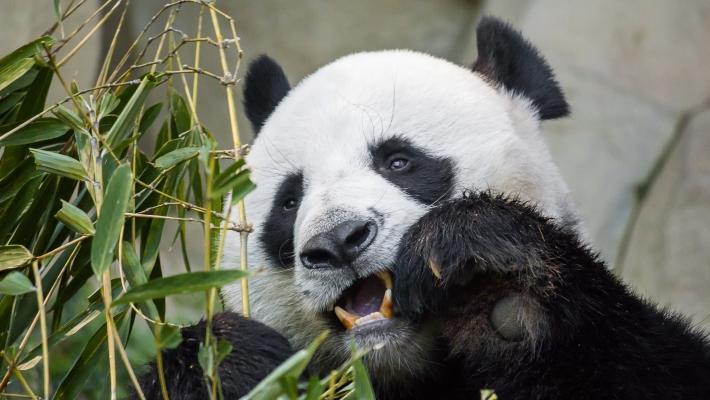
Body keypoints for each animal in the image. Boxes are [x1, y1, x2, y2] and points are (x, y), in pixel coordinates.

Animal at [139, 16, 710, 400]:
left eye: (399, 161)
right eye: (290, 200)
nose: (339, 241)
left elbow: (649, 363)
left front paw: (500, 295)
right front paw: (228, 359)